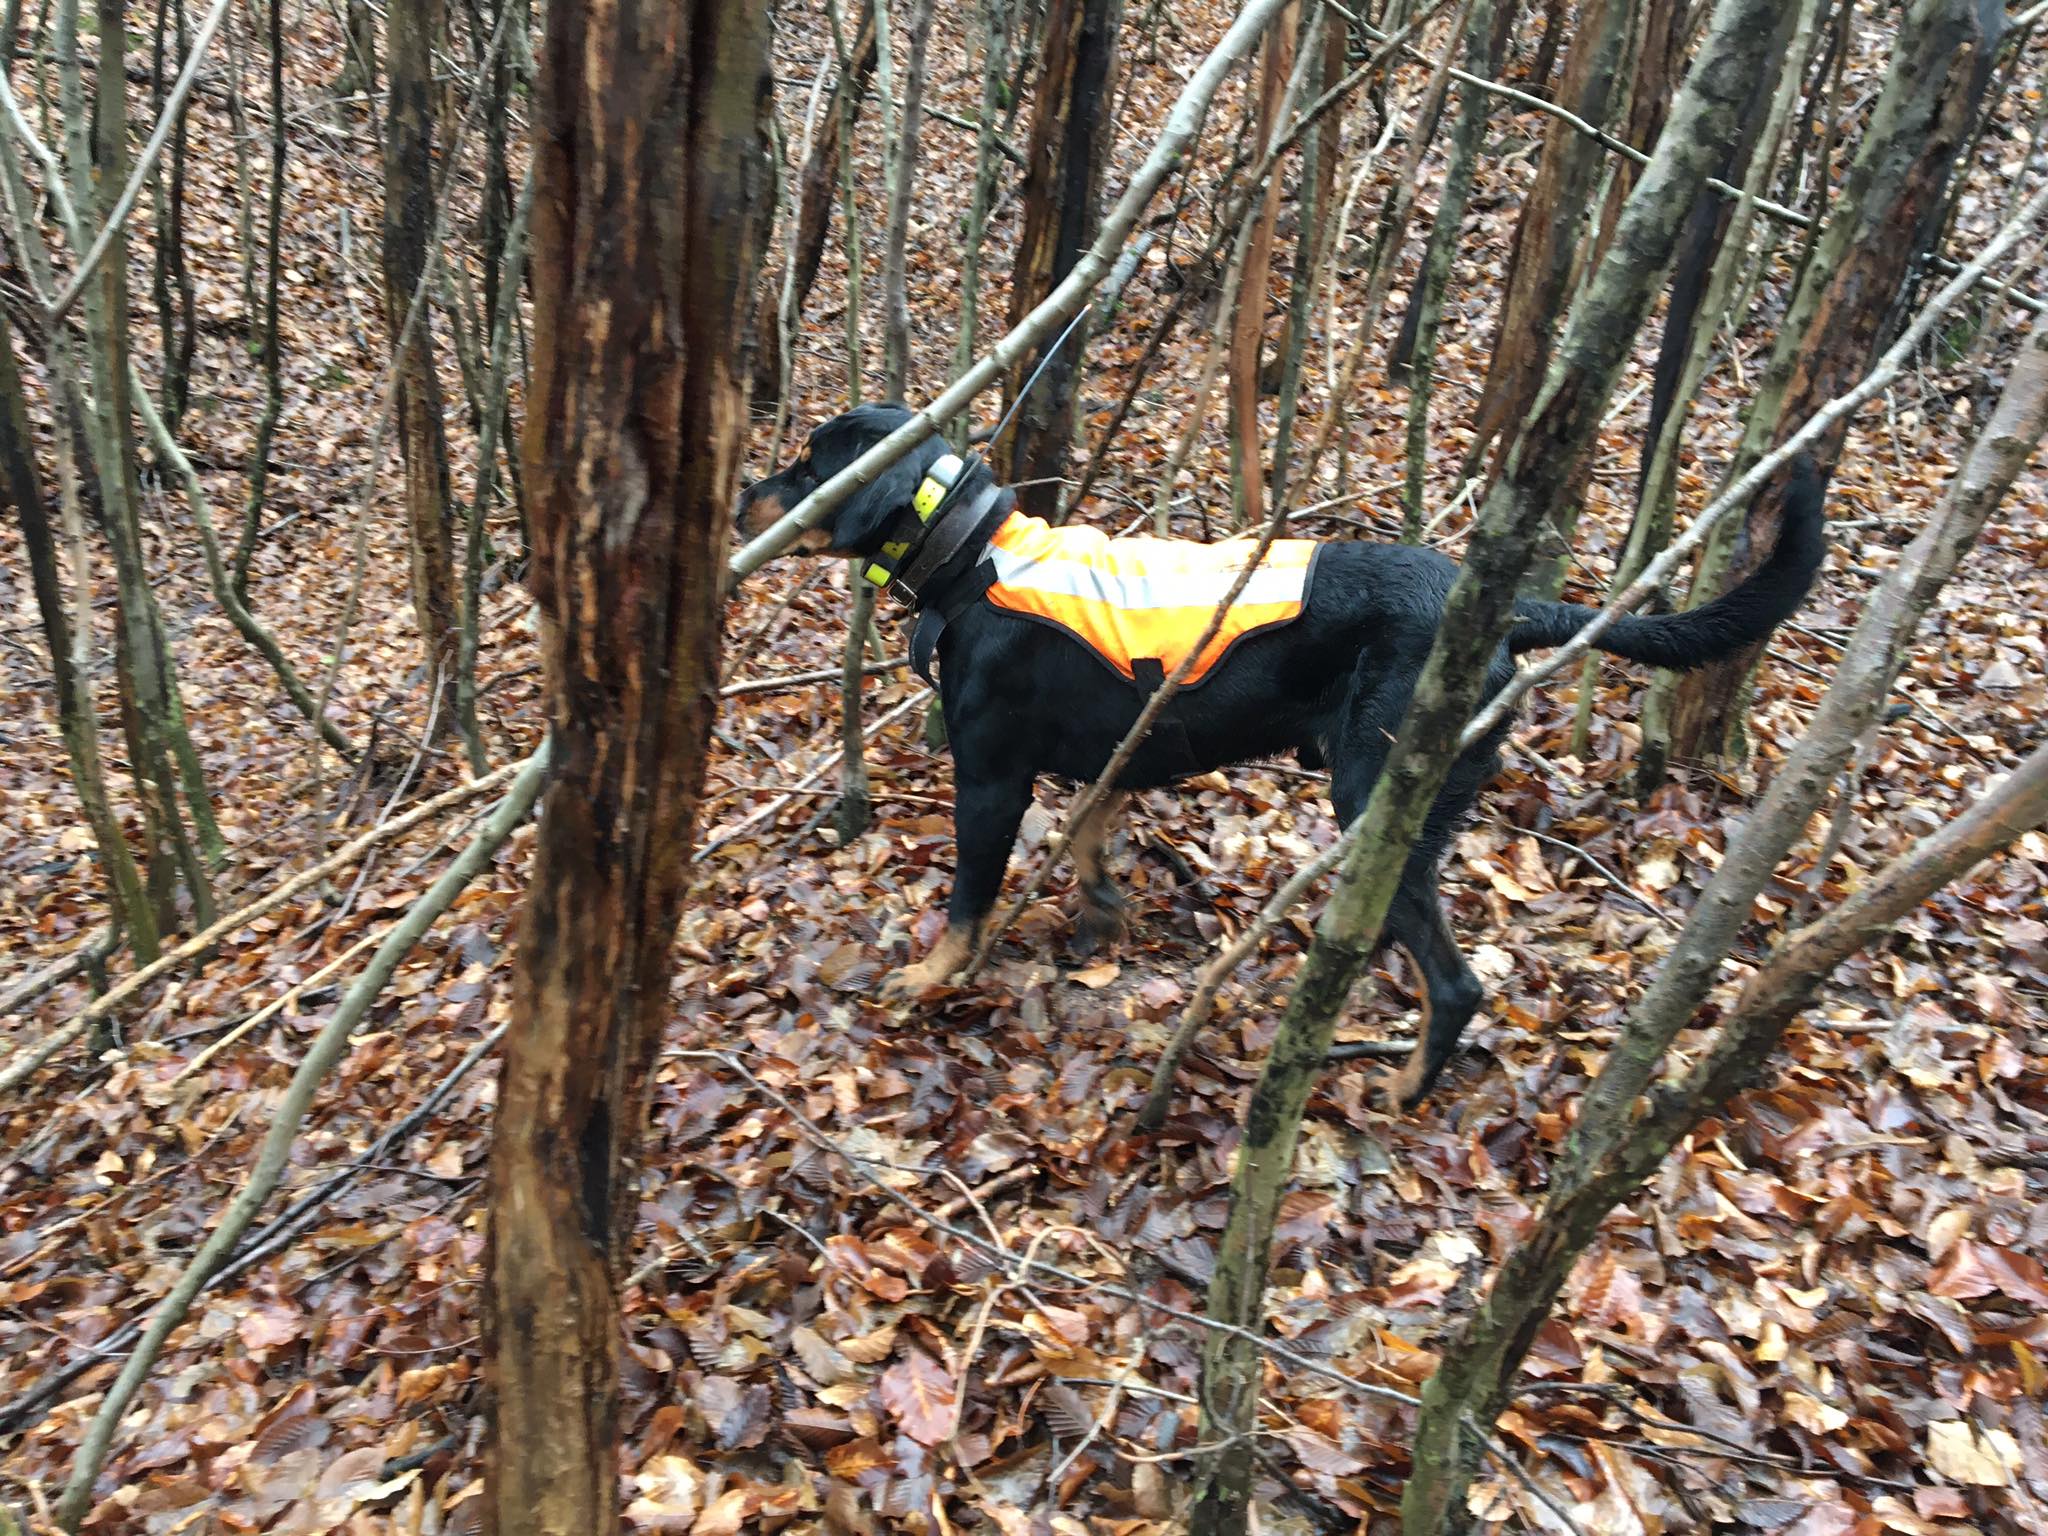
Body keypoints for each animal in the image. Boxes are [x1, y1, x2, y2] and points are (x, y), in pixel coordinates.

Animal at [737, 403, 1826, 1106]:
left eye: (807, 465)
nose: (747, 491)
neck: (975, 556)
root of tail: (1508, 612)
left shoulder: (991, 780)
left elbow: (967, 902)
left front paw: (929, 979)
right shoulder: (1122, 751)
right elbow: (1089, 833)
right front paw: (1102, 914)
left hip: (1378, 799)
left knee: (1456, 981)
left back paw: (1398, 1085)